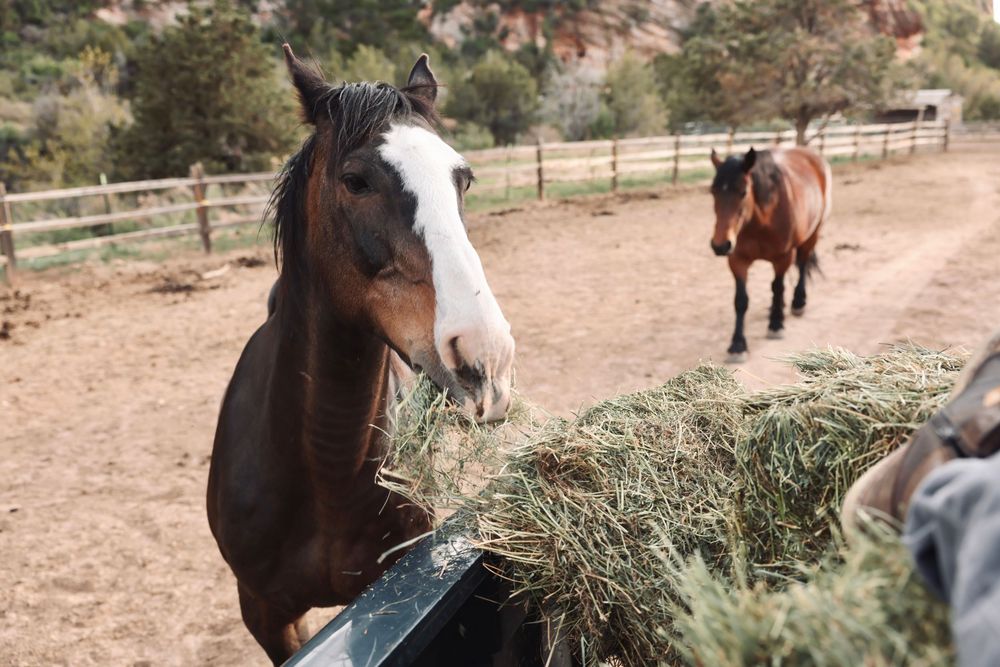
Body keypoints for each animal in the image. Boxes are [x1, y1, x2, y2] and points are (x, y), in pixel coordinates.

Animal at [708, 146, 832, 362]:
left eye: (743, 192)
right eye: (713, 192)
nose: (721, 245)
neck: (761, 220)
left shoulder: (782, 258)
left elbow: (778, 287)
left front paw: (776, 324)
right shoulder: (737, 261)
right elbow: (741, 301)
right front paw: (737, 344)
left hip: (812, 235)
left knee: (802, 265)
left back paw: (798, 302)